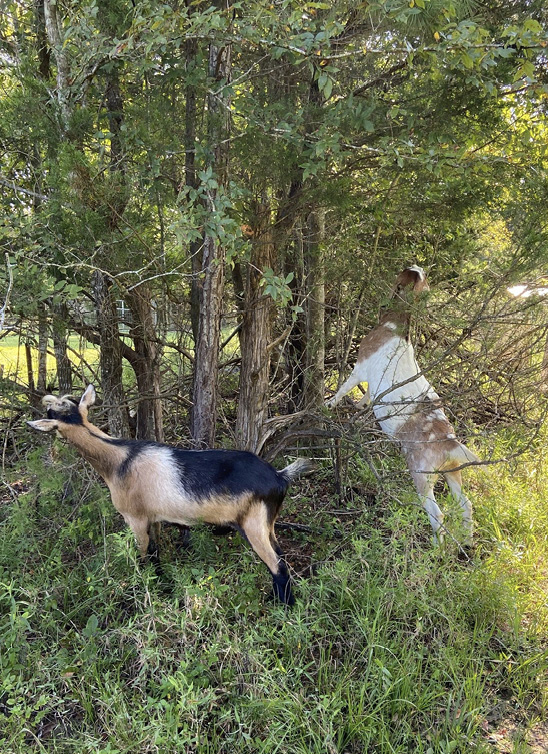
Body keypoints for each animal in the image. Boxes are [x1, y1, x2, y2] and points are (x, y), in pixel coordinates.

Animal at [27, 384, 312, 604]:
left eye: (51, 413)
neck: (119, 460)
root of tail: (280, 477)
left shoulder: (135, 518)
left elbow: (144, 555)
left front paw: (143, 587)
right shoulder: (153, 518)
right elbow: (156, 552)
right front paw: (162, 585)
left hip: (253, 524)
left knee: (277, 566)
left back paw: (282, 608)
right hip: (268, 523)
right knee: (280, 556)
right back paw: (274, 599)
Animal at [328, 266, 478, 548]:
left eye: (402, 275)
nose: (413, 266)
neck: (394, 326)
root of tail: (450, 444)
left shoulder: (360, 367)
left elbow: (344, 387)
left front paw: (328, 403)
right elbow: (368, 396)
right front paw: (359, 406)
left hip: (422, 474)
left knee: (437, 513)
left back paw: (437, 550)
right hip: (452, 471)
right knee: (466, 504)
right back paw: (467, 540)